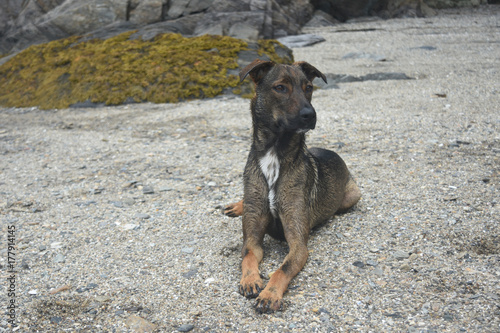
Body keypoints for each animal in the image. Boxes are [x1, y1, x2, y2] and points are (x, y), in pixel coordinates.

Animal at [225, 59, 362, 312]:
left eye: (308, 88)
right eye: (280, 88)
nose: (311, 115)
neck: (274, 154)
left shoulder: (298, 244)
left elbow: (283, 269)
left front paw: (270, 294)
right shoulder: (252, 237)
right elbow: (248, 256)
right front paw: (250, 280)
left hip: (352, 196)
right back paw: (237, 205)